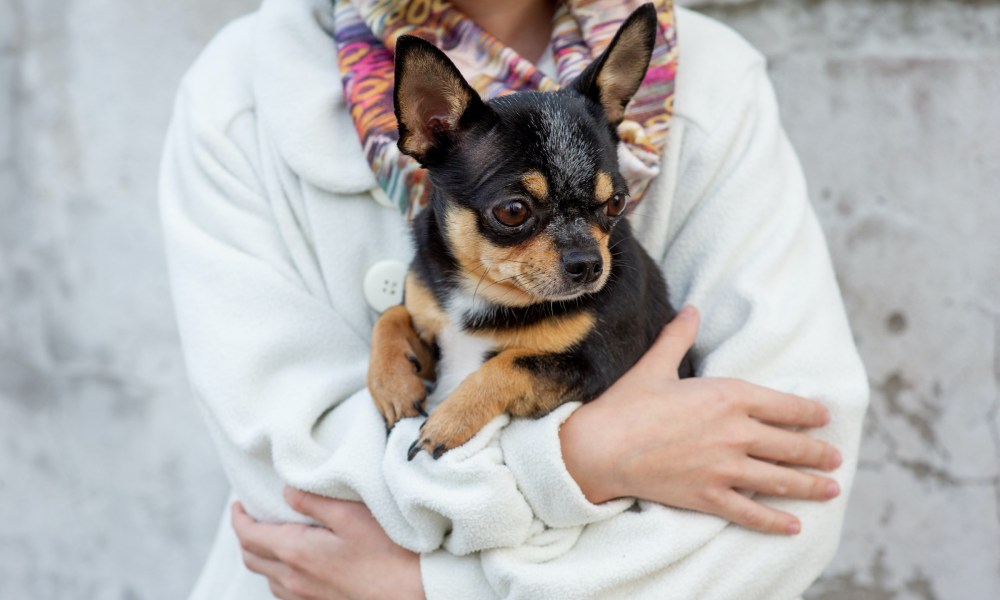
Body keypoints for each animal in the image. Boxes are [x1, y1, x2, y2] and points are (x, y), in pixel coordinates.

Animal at [370, 4, 696, 460]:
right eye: (512, 212)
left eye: (617, 202)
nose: (589, 264)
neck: (488, 295)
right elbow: (392, 314)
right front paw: (394, 384)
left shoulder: (596, 367)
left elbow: (511, 362)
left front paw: (448, 421)